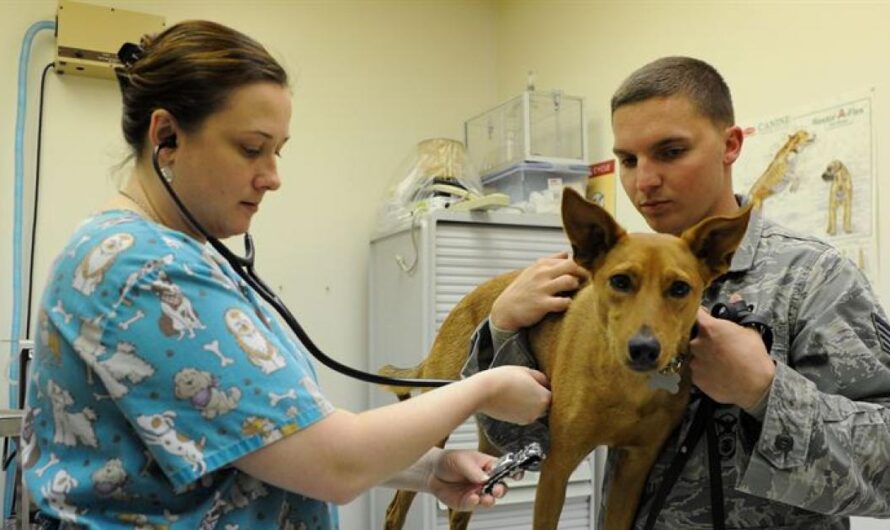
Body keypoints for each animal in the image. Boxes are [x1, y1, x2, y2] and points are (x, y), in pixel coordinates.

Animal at [378, 188, 744, 524]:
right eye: (620, 281)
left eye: (680, 289)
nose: (644, 349)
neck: (628, 386)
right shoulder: (557, 466)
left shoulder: (634, 470)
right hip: (432, 425)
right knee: (397, 506)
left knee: (459, 508)